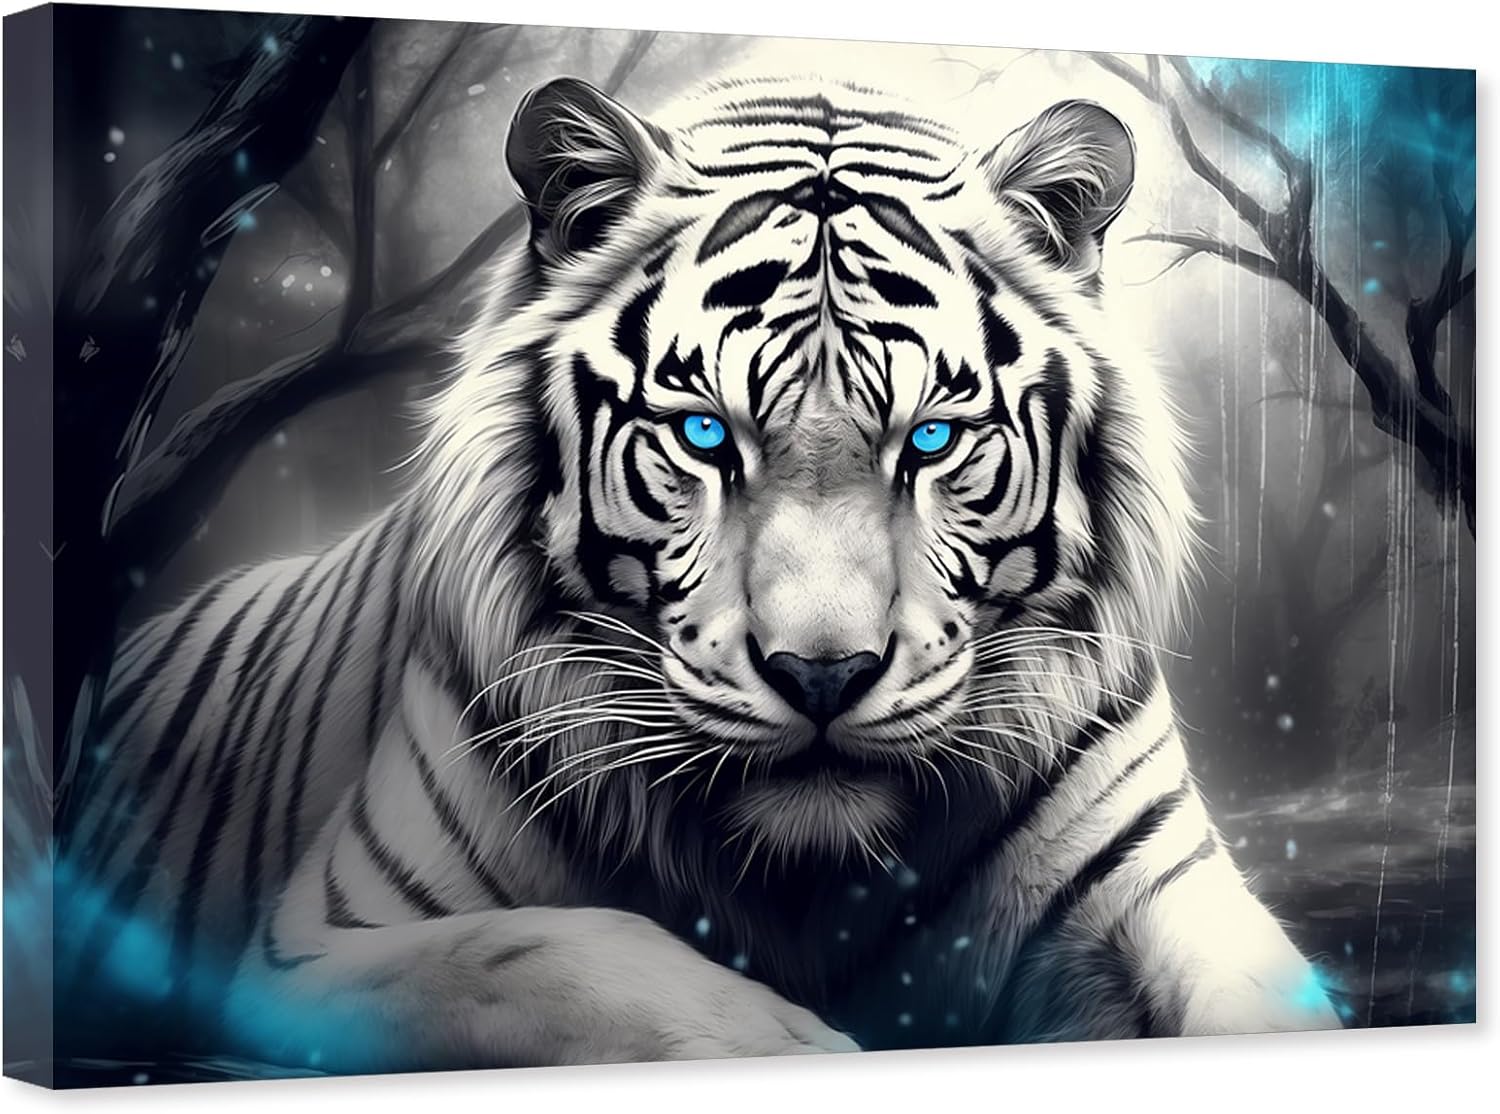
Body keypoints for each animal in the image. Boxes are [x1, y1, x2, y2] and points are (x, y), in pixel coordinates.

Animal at [62, 74, 1342, 1073]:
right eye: (705, 435)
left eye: (931, 438)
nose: (822, 675)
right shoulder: (310, 952)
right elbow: (557, 949)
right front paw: (800, 1044)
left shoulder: (1170, 894)